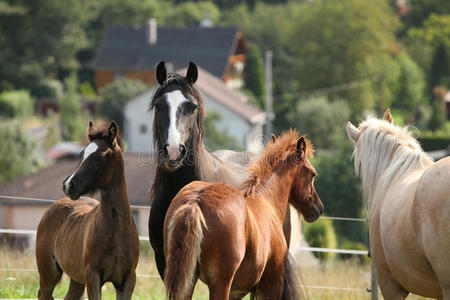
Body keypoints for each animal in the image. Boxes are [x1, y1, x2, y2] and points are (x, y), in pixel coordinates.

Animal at [35, 121, 139, 300]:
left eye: (100, 156)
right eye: (81, 154)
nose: (68, 185)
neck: (116, 230)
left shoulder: (127, 280)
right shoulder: (92, 276)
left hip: (76, 279)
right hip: (49, 273)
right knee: (44, 293)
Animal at [164, 131, 324, 300]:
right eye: (313, 173)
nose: (318, 208)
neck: (267, 200)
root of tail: (195, 201)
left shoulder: (238, 292)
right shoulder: (271, 284)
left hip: (188, 281)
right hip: (220, 284)